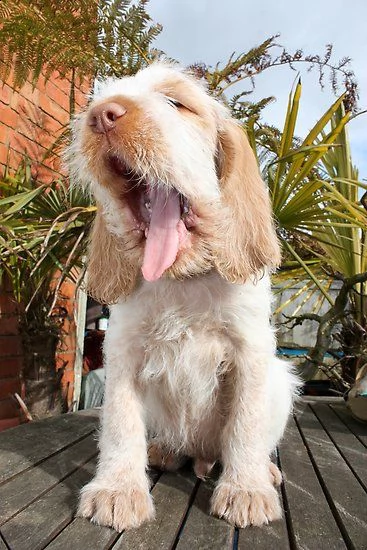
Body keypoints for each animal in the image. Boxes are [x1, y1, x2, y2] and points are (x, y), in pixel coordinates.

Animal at [67, 63, 300, 536]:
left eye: (177, 103)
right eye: (96, 103)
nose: (101, 116)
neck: (182, 278)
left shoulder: (251, 352)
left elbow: (245, 424)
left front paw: (245, 489)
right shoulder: (123, 351)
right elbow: (120, 423)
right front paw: (118, 489)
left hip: (281, 380)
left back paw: (260, 470)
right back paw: (164, 450)